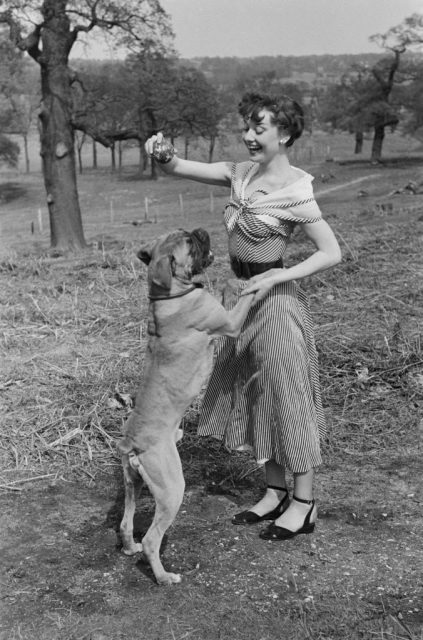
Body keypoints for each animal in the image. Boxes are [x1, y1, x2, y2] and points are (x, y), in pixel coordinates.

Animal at [117, 228, 255, 584]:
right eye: (189, 244)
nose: (200, 231)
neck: (168, 296)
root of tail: (132, 444)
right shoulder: (229, 322)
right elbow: (238, 294)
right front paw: (246, 282)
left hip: (133, 484)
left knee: (125, 524)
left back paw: (130, 548)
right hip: (171, 489)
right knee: (152, 539)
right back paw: (164, 576)